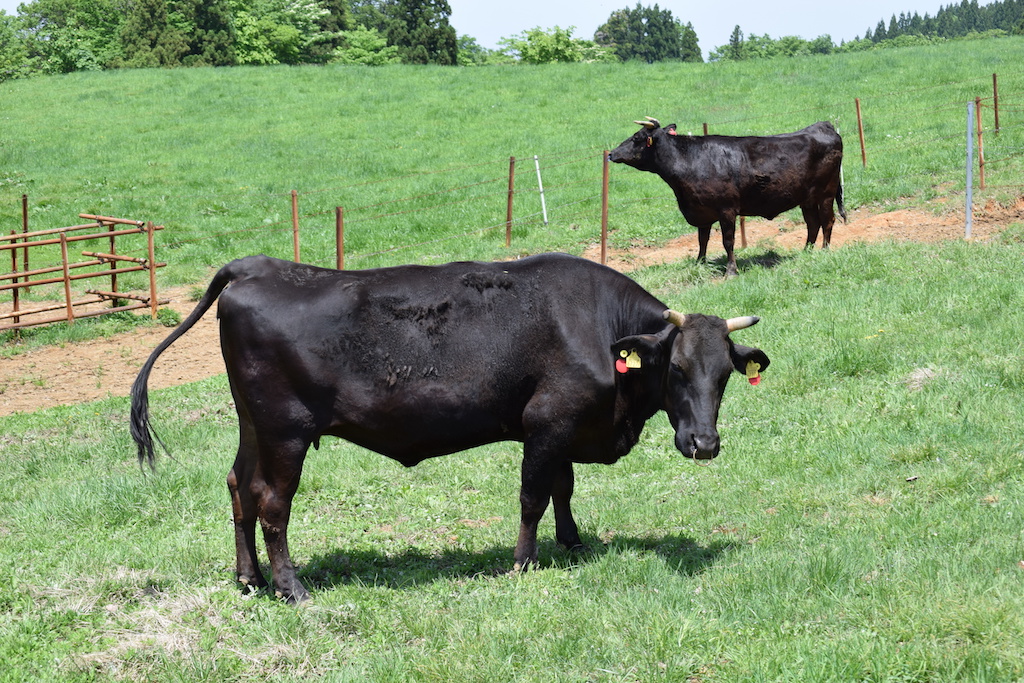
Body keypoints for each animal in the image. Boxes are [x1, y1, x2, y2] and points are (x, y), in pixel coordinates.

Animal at [130, 252, 770, 602]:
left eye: (725, 374)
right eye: (677, 368)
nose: (704, 443)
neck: (597, 328)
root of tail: (255, 267)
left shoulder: (562, 427)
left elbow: (563, 488)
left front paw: (572, 542)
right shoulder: (546, 424)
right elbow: (534, 496)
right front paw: (522, 562)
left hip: (253, 427)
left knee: (238, 487)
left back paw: (250, 579)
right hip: (286, 432)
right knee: (270, 503)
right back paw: (291, 587)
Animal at [610, 118, 843, 278]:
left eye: (636, 138)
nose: (611, 153)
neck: (690, 160)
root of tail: (822, 125)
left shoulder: (727, 210)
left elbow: (728, 241)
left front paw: (731, 270)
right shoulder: (701, 211)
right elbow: (702, 239)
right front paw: (700, 263)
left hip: (826, 193)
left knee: (827, 220)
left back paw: (824, 251)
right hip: (807, 199)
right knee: (812, 223)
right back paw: (806, 251)